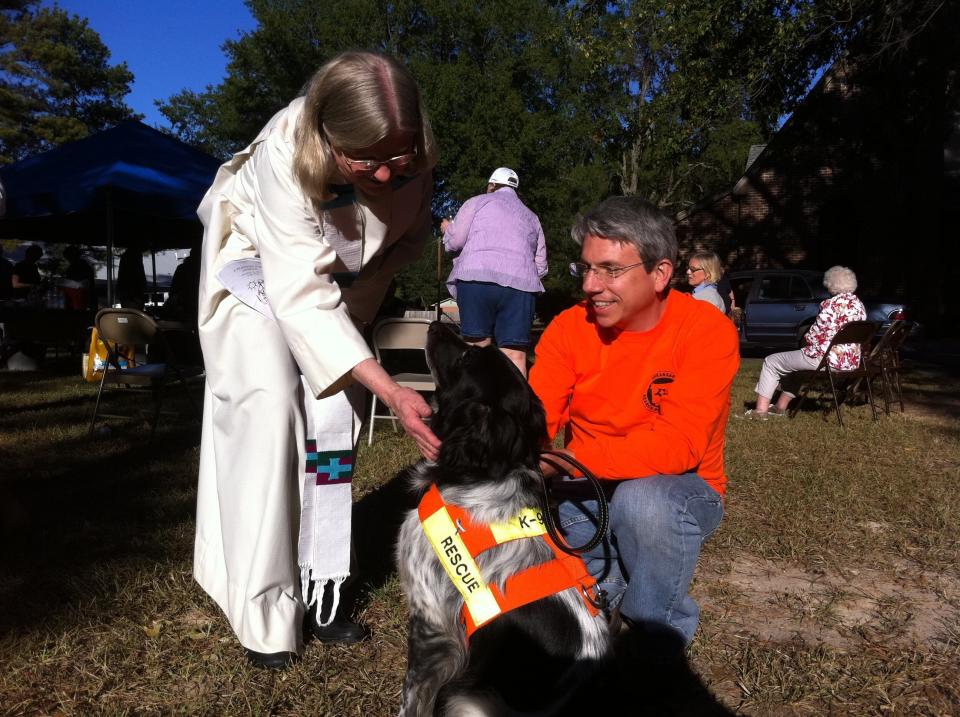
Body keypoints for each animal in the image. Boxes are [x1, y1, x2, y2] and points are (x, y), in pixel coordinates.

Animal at [396, 324, 608, 716]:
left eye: (468, 357)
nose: (437, 324)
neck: (485, 473)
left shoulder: (431, 621)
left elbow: (413, 696)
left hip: (470, 697)